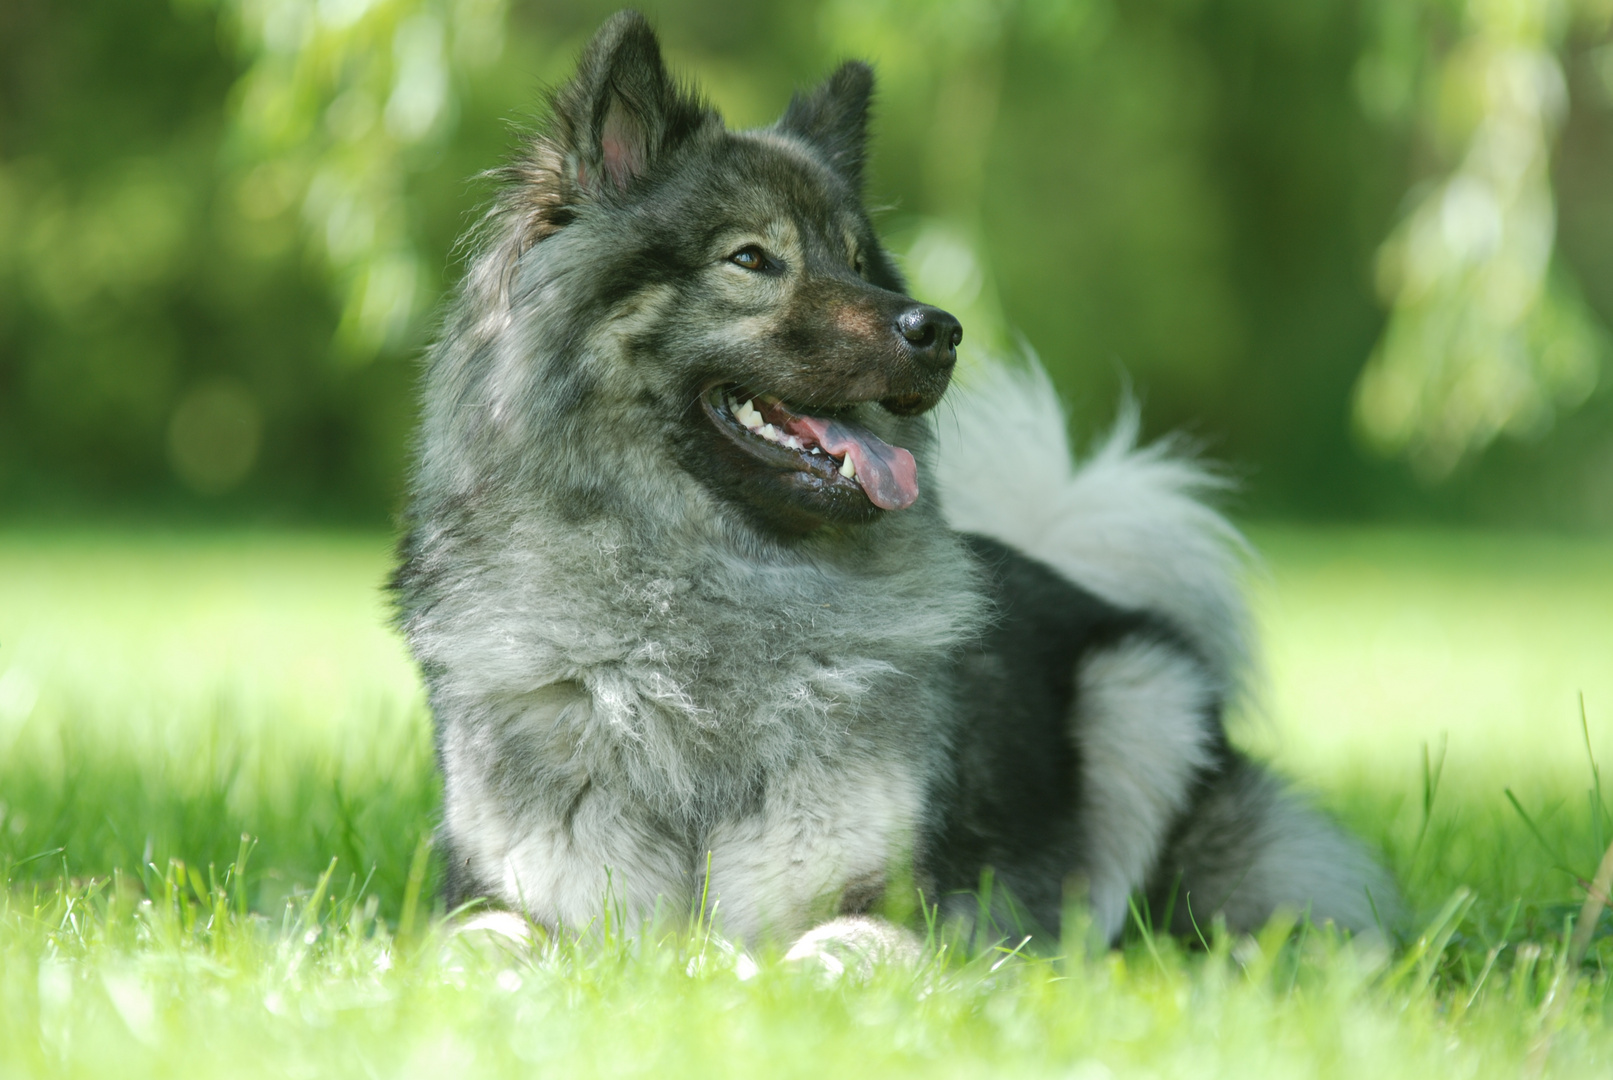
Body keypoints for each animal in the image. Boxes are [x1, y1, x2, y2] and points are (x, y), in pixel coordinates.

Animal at [393, 6, 1400, 954]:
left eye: (854, 260)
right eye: (751, 258)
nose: (940, 329)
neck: (707, 600)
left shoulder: (883, 906)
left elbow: (829, 953)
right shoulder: (504, 898)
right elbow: (478, 947)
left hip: (1142, 695)